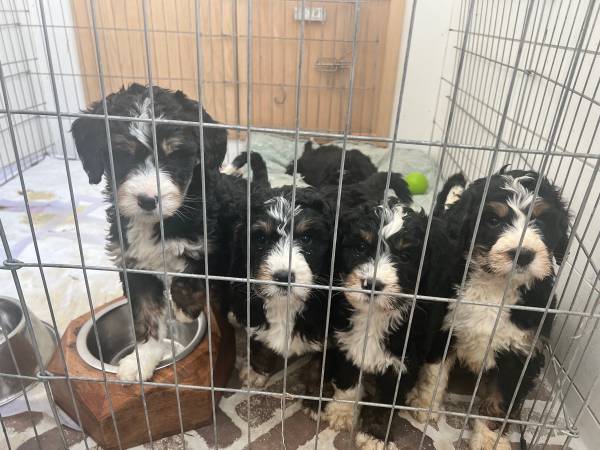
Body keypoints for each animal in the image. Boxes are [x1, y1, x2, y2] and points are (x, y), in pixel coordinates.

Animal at [72, 83, 227, 380]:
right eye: (122, 155)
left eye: (174, 156)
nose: (147, 199)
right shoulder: (134, 266)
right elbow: (145, 314)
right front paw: (142, 358)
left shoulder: (210, 247)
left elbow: (187, 274)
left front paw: (184, 310)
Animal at [227, 186, 336, 386]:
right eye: (261, 239)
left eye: (306, 238)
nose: (284, 276)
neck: (285, 304)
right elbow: (259, 340)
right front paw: (256, 371)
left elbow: (322, 361)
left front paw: (314, 387)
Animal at [316, 201, 452, 450]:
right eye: (361, 247)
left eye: (406, 256)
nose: (372, 284)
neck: (375, 316)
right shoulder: (347, 344)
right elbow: (348, 381)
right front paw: (342, 412)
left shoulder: (403, 361)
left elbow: (386, 403)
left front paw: (374, 436)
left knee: (436, 367)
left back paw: (425, 403)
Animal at [410, 169, 568, 450]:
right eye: (493, 220)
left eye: (540, 221)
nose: (522, 254)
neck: (497, 286)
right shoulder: (443, 327)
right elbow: (434, 373)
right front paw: (425, 407)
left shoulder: (520, 352)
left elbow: (499, 400)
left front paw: (488, 439)